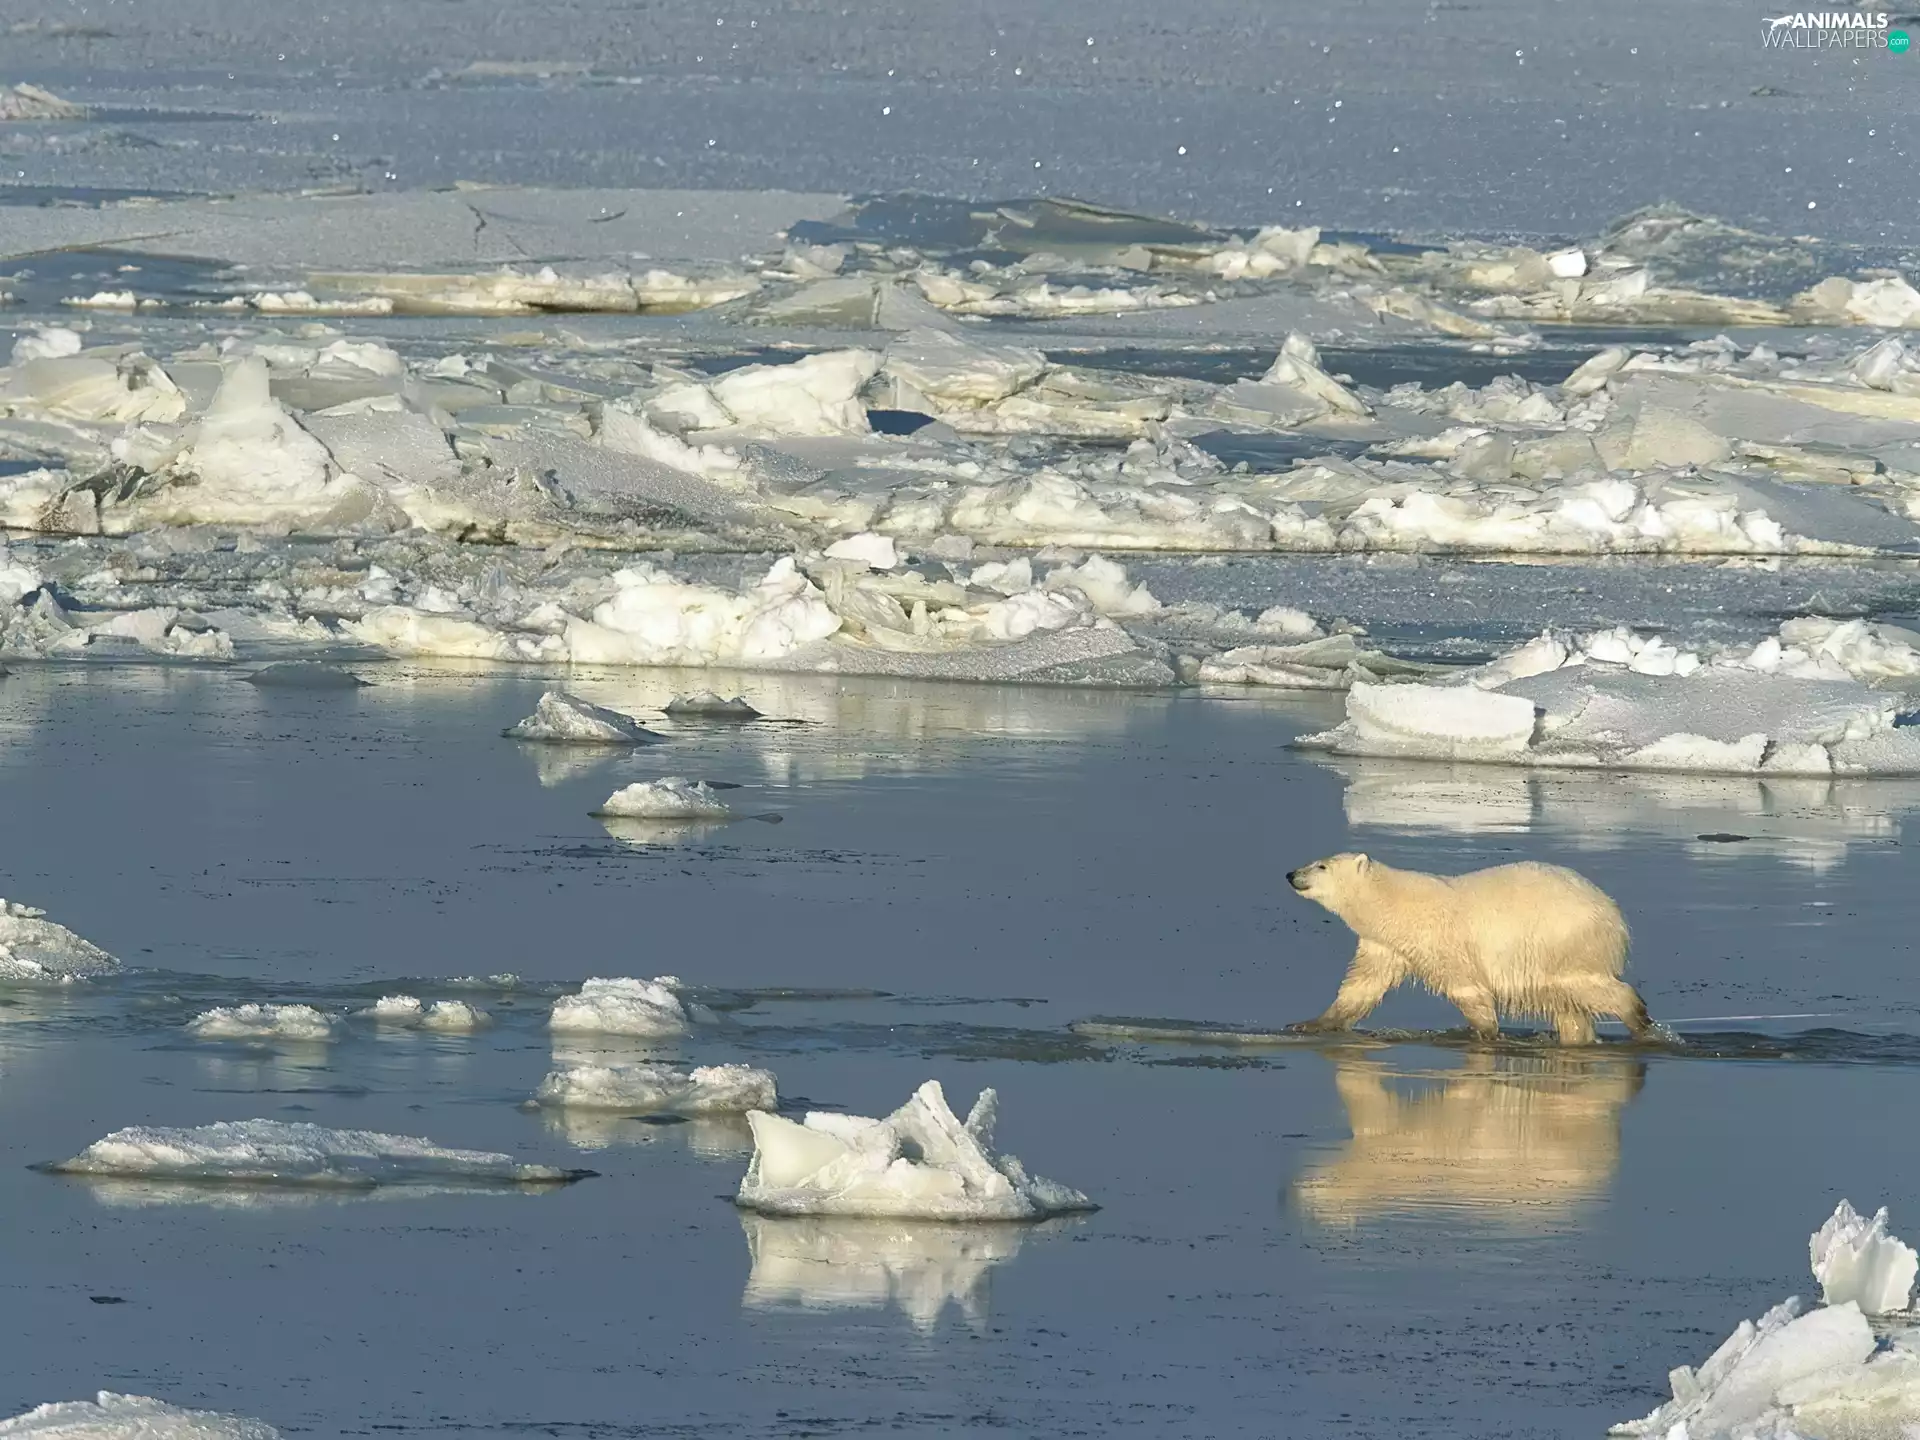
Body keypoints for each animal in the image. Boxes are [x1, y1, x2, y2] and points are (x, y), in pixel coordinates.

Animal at [1284, 853, 1655, 1045]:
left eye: (1321, 865)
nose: (1290, 874)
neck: (1396, 904)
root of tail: (1613, 913)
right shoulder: (1384, 945)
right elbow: (1361, 986)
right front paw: (1308, 1024)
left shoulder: (1441, 937)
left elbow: (1465, 985)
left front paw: (1483, 1032)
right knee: (1568, 1008)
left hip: (1565, 943)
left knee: (1590, 987)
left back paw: (1640, 1022)